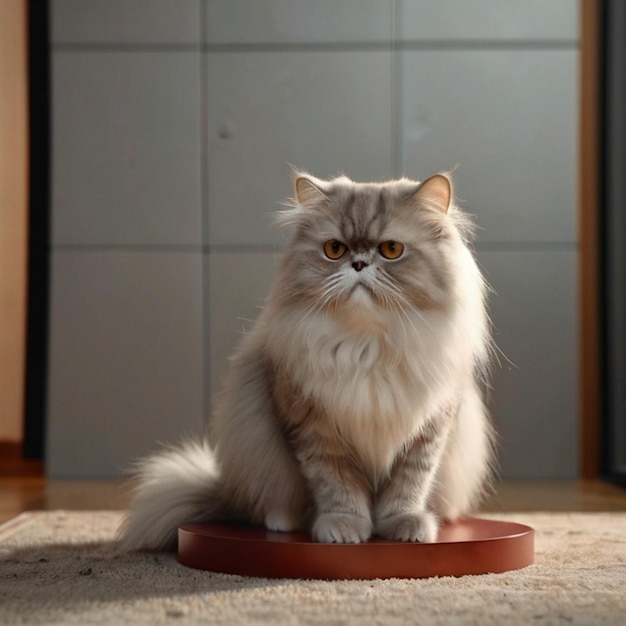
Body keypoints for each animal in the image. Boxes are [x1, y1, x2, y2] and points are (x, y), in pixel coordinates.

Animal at [117, 169, 494, 544]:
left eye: (391, 250)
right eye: (334, 249)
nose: (358, 263)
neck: (367, 345)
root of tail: (224, 493)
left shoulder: (428, 431)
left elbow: (408, 487)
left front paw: (405, 526)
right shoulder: (314, 429)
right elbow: (337, 487)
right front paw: (345, 529)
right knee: (265, 506)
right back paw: (282, 522)